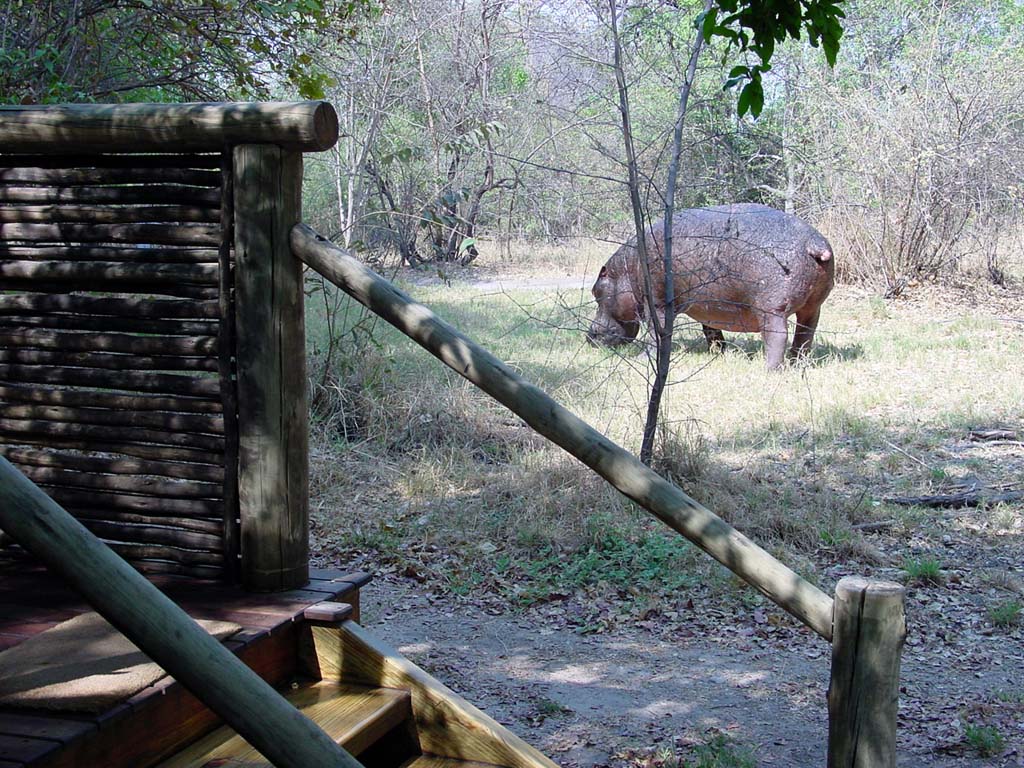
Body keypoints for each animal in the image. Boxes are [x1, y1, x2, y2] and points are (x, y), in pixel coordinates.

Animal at [589, 204, 835, 370]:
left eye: (596, 292)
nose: (589, 336)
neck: (627, 269)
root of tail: (814, 243)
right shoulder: (707, 307)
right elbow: (711, 331)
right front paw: (719, 353)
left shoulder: (656, 304)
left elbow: (654, 333)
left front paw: (642, 358)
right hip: (813, 307)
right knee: (805, 334)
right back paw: (797, 363)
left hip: (771, 309)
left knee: (777, 337)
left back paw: (769, 370)